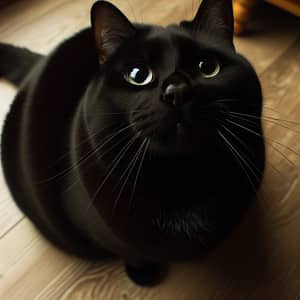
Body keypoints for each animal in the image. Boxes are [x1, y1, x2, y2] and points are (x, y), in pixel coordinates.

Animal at [0, 0, 264, 286]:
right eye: (138, 75)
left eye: (208, 67)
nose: (177, 92)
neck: (180, 179)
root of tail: (39, 62)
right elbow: (131, 250)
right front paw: (144, 274)